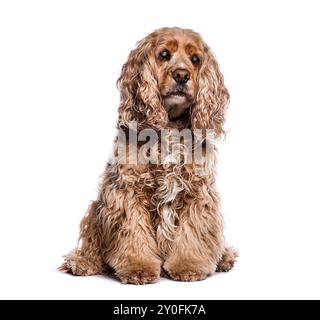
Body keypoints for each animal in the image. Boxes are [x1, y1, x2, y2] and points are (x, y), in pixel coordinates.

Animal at [59, 26, 238, 282]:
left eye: (196, 59)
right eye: (164, 54)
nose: (182, 75)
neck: (170, 126)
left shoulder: (197, 193)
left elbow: (193, 234)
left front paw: (189, 266)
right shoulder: (127, 193)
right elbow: (134, 234)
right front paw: (138, 267)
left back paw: (224, 258)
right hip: (97, 206)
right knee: (91, 242)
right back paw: (82, 262)